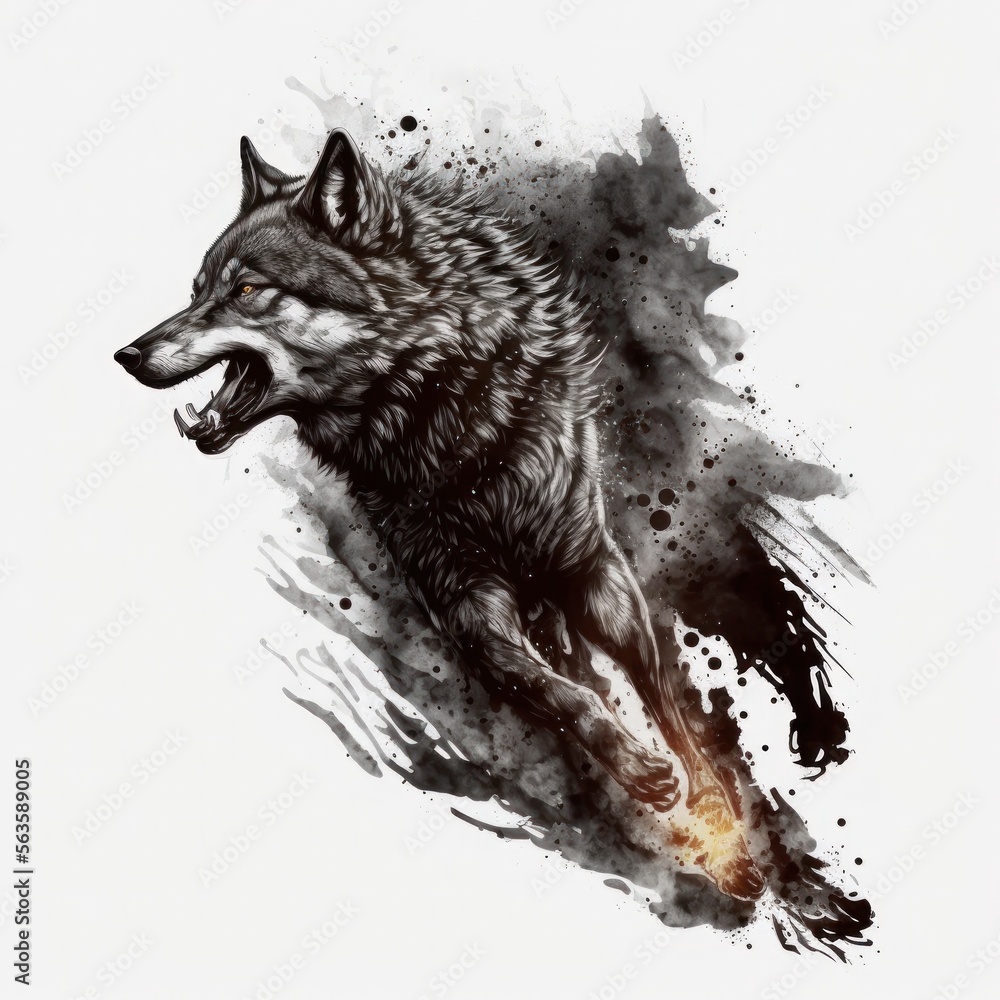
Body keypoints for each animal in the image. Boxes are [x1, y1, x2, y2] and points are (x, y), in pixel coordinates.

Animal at [114, 128, 765, 900]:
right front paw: (638, 768)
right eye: (196, 293)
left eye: (244, 291)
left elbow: (666, 700)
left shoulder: (592, 567)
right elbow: (557, 692)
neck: (443, 419)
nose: (126, 354)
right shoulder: (463, 602)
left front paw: (719, 825)